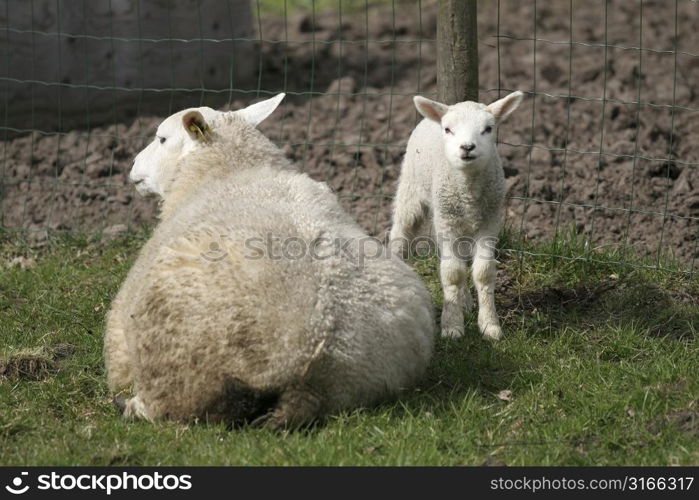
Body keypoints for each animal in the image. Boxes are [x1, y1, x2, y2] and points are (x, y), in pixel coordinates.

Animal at [102, 94, 438, 430]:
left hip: (181, 369)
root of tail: (312, 365)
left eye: (162, 138)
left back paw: (130, 406)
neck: (230, 169)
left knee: (170, 408)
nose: (133, 167)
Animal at [392, 91, 524, 340]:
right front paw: (452, 326)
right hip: (411, 190)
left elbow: (483, 272)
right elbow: (452, 273)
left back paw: (465, 301)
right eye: (448, 129)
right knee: (400, 235)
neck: (468, 190)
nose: (467, 147)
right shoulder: (447, 222)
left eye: (488, 128)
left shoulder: (490, 221)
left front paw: (489, 325)